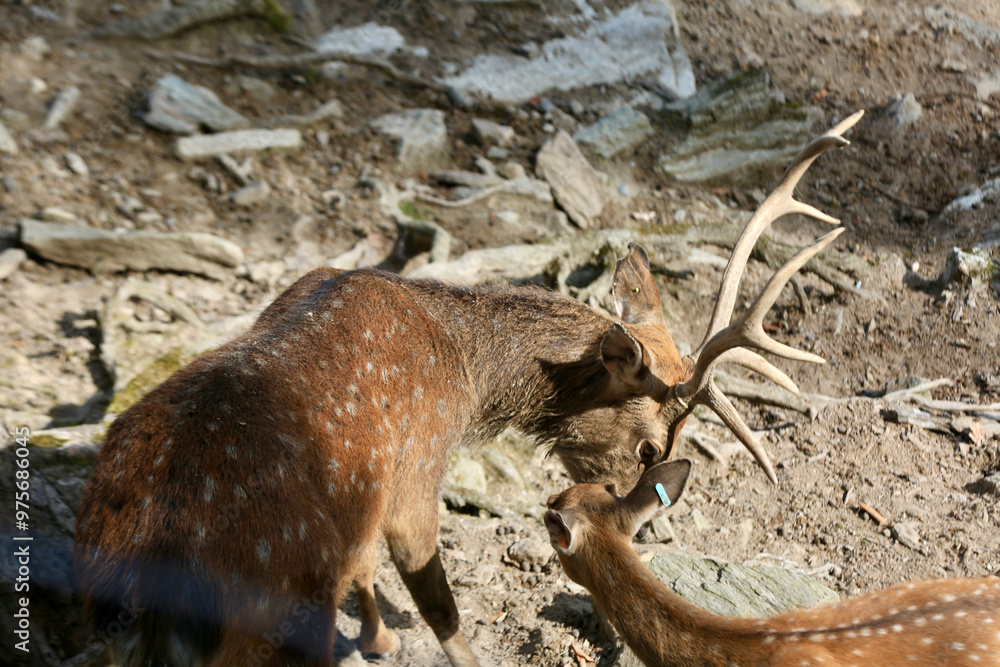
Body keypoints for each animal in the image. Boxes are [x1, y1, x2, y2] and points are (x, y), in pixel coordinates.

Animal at [74, 109, 864, 667]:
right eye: (648, 446)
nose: (636, 505)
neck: (467, 376)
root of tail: (148, 586)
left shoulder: (367, 494)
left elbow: (364, 566)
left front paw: (381, 640)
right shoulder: (415, 469)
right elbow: (440, 606)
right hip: (275, 604)